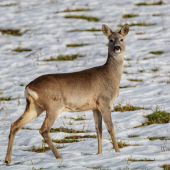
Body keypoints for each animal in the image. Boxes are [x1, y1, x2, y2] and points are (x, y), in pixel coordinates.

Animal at [4, 23, 129, 163]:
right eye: (110, 40)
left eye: (122, 39)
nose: (117, 48)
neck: (111, 75)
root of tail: (28, 87)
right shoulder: (105, 101)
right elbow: (110, 128)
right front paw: (117, 152)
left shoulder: (95, 107)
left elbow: (98, 129)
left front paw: (99, 154)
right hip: (54, 105)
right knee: (43, 130)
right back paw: (60, 156)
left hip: (34, 107)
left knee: (15, 125)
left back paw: (7, 160)